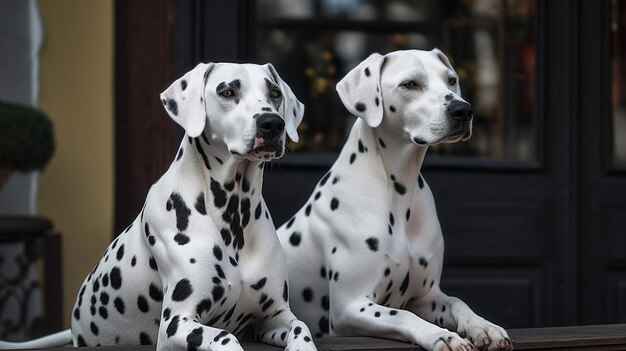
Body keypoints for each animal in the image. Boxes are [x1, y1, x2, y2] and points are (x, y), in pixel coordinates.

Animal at [1, 62, 316, 351]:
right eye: (227, 91)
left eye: (274, 93)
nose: (272, 123)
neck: (233, 213)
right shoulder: (177, 322)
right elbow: (225, 337)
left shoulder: (274, 316)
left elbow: (302, 327)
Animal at [278, 48, 512, 351]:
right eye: (410, 84)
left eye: (451, 80)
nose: (463, 110)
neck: (399, 193)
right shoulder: (350, 307)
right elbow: (402, 315)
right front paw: (442, 336)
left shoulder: (426, 297)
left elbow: (457, 302)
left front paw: (483, 325)